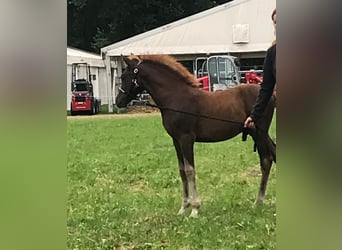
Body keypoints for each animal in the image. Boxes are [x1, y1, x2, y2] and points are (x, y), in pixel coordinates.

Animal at [115, 54, 276, 217]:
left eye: (124, 76)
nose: (118, 101)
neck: (175, 98)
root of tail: (271, 96)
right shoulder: (176, 140)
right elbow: (182, 171)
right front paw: (183, 207)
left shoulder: (186, 138)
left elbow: (190, 170)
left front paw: (195, 208)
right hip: (258, 134)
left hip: (259, 133)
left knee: (266, 161)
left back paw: (258, 201)